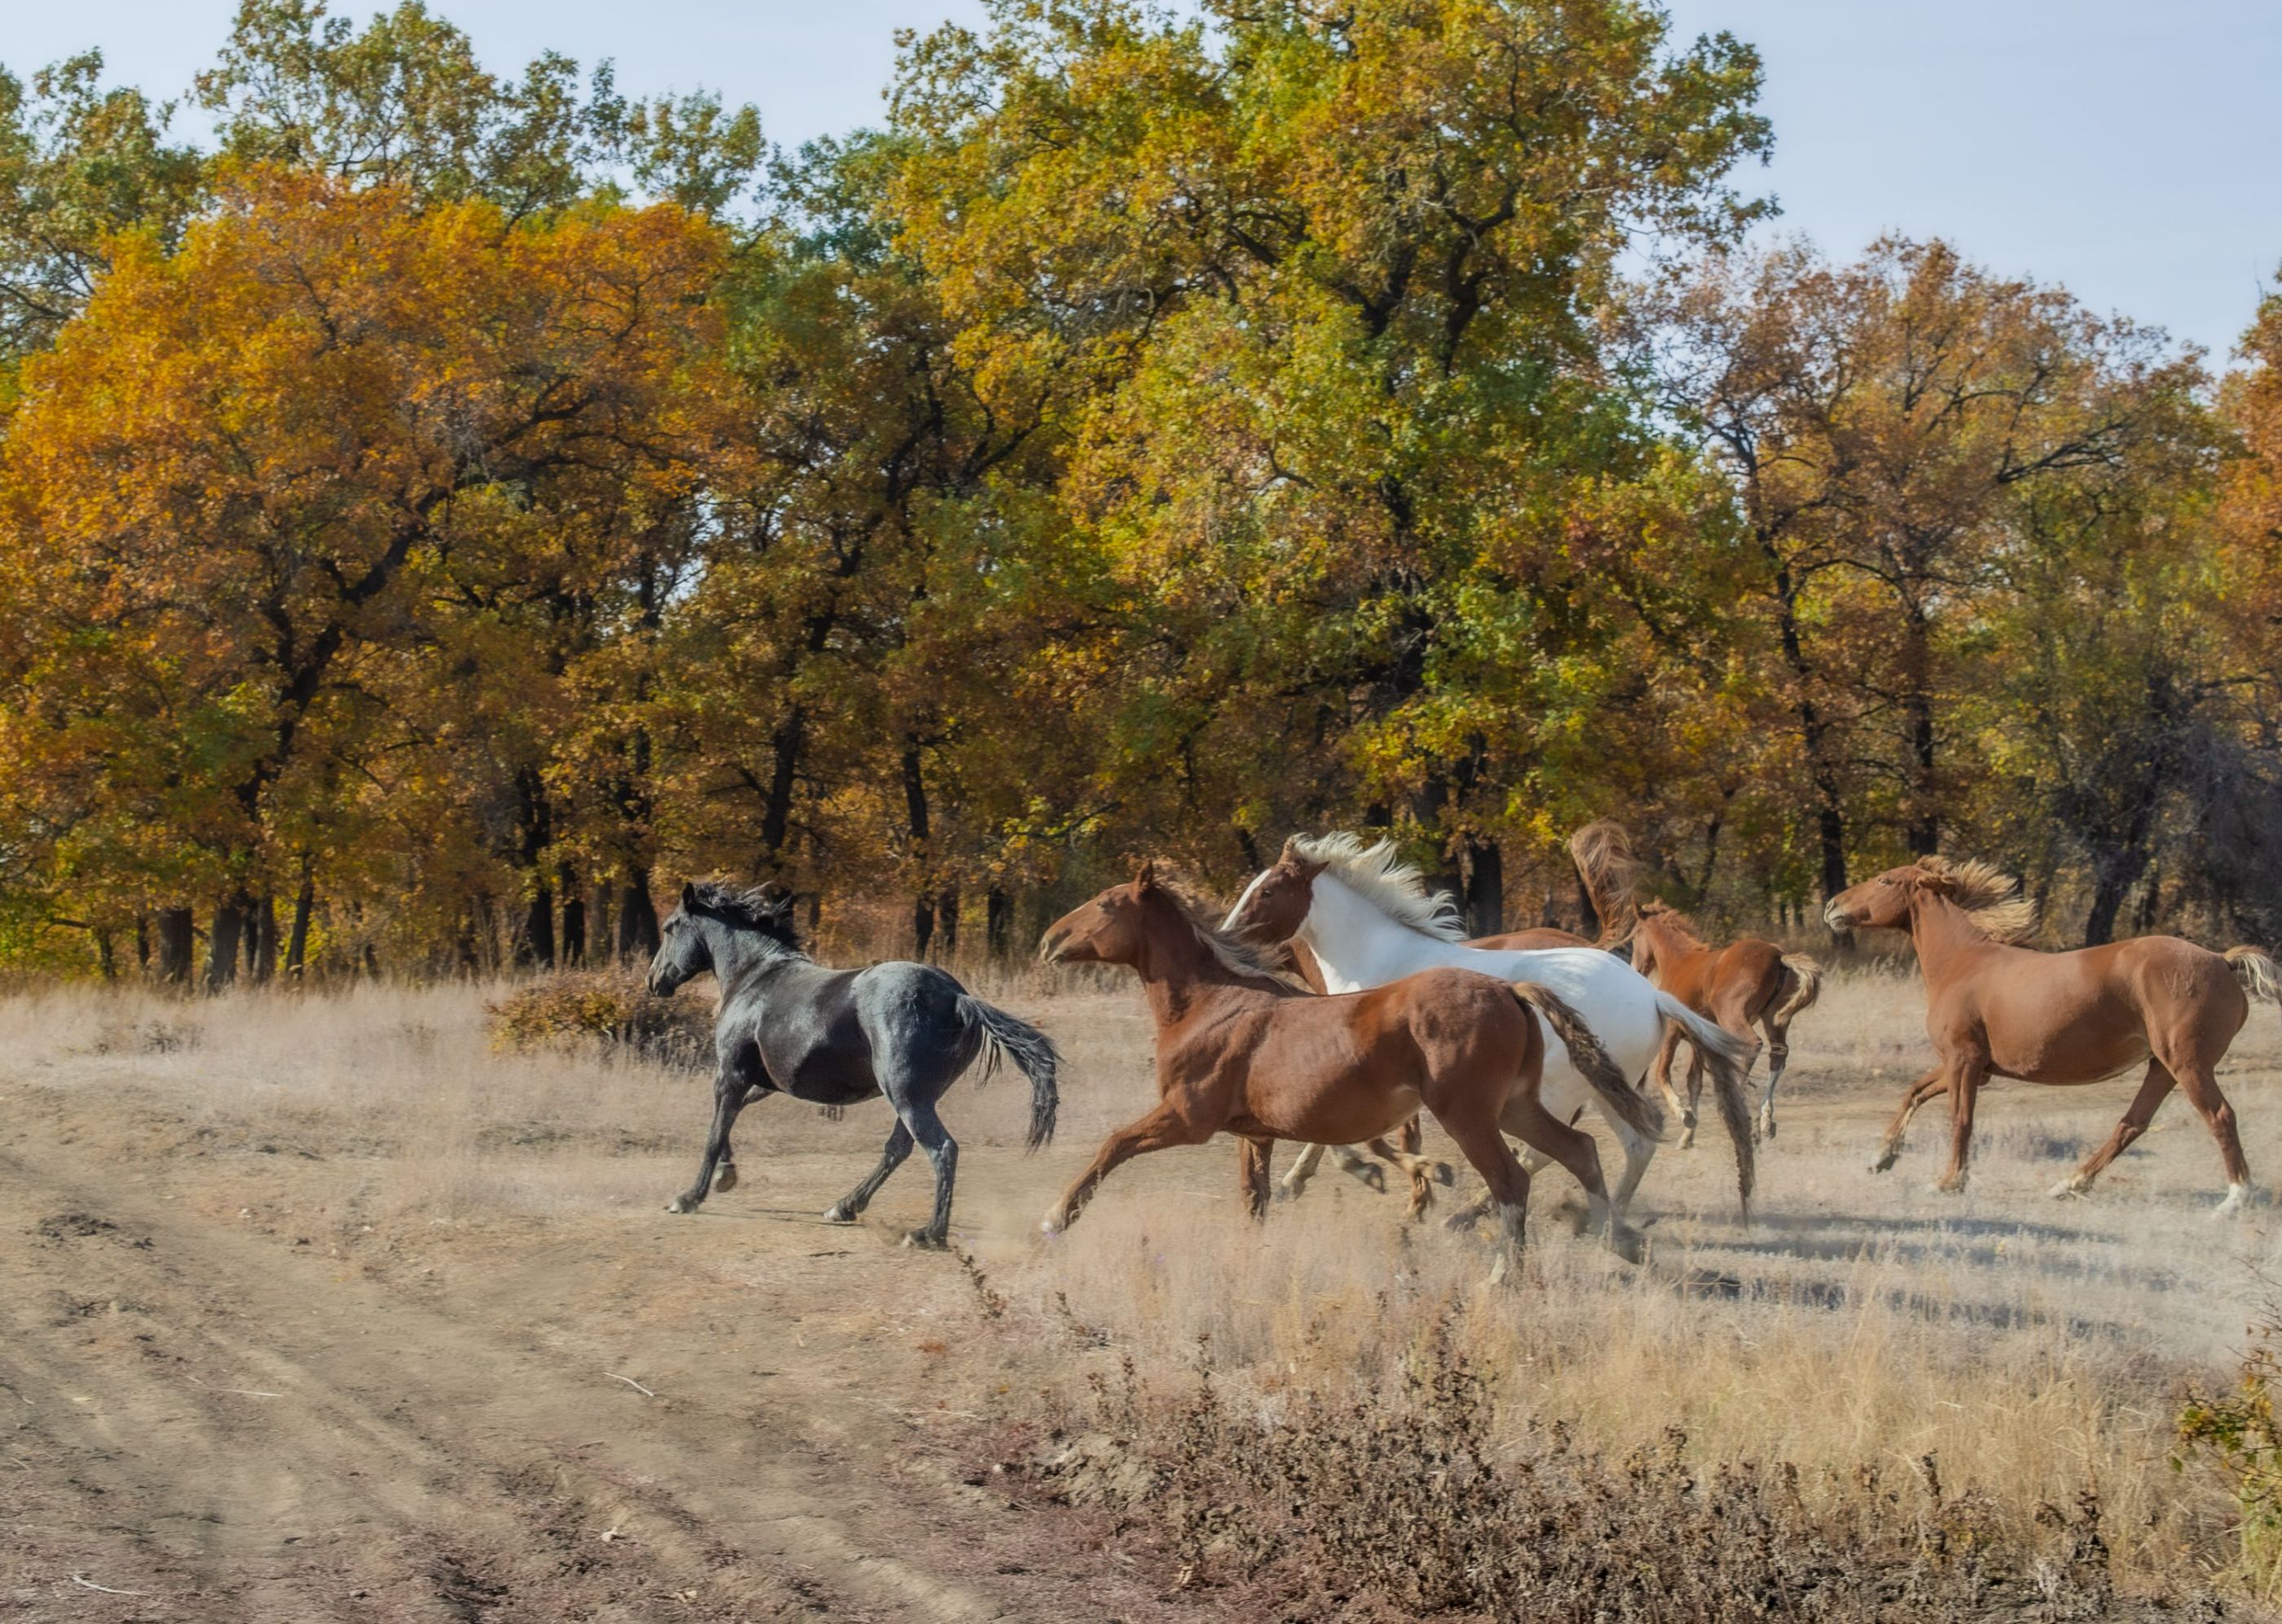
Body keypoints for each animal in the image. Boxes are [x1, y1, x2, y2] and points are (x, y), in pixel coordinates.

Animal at [648, 889, 1063, 1240]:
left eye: (670, 927)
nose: (654, 981)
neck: (755, 977)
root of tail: (958, 998)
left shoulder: (730, 1073)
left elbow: (715, 1132)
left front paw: (689, 1197)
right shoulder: (764, 1082)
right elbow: (729, 1122)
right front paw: (726, 1175)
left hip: (906, 1096)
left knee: (941, 1149)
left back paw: (928, 1234)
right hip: (917, 1097)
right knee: (899, 1149)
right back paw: (845, 1207)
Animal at [1036, 862, 1661, 1268]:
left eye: (1106, 903)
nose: (1049, 940)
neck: (1210, 1002)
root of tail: (1510, 989)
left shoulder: (1188, 1118)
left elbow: (1112, 1145)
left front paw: (1056, 1217)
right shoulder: (1254, 1134)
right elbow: (1255, 1197)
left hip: (1473, 1114)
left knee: (1515, 1178)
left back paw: (1505, 1271)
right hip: (1518, 1106)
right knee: (1581, 1150)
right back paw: (1614, 1240)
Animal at [1222, 839, 1752, 1222]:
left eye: (1266, 892)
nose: (1225, 937)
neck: (1374, 958)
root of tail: (1651, 995)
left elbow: (1370, 1139)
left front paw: (1393, 1187)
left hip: (1558, 1092)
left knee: (1547, 1153)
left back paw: (1477, 1213)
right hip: (1606, 1088)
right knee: (1635, 1144)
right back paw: (1606, 1219)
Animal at [1633, 898, 1826, 1140]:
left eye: (1635, 935)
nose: (1636, 968)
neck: (1678, 962)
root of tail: (1778, 956)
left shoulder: (1673, 1030)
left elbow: (1662, 1072)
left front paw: (1683, 1114)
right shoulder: (1699, 1039)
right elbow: (1694, 1080)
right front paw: (1687, 1137)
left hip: (1732, 1016)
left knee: (1752, 1045)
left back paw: (1734, 1107)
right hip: (1774, 1019)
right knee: (1778, 1055)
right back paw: (1765, 1121)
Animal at [1816, 857, 2282, 1213]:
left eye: (1885, 880)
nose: (1832, 906)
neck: (1962, 963)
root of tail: (2222, 961)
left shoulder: (1964, 1060)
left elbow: (1960, 1119)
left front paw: (1948, 1182)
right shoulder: (1971, 1066)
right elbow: (1913, 1092)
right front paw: (1882, 1158)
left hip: (2188, 1065)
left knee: (2219, 1116)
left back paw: (2235, 1199)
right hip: (2162, 1067)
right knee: (2132, 1124)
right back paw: (2069, 1185)